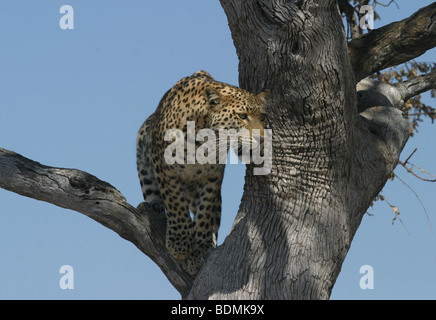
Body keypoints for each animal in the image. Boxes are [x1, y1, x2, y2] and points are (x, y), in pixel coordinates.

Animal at [136, 70, 270, 268]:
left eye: (262, 117)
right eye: (242, 116)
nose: (261, 139)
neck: (203, 139)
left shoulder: (212, 176)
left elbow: (205, 210)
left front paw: (202, 247)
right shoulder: (166, 169)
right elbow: (176, 204)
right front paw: (180, 244)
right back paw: (155, 206)